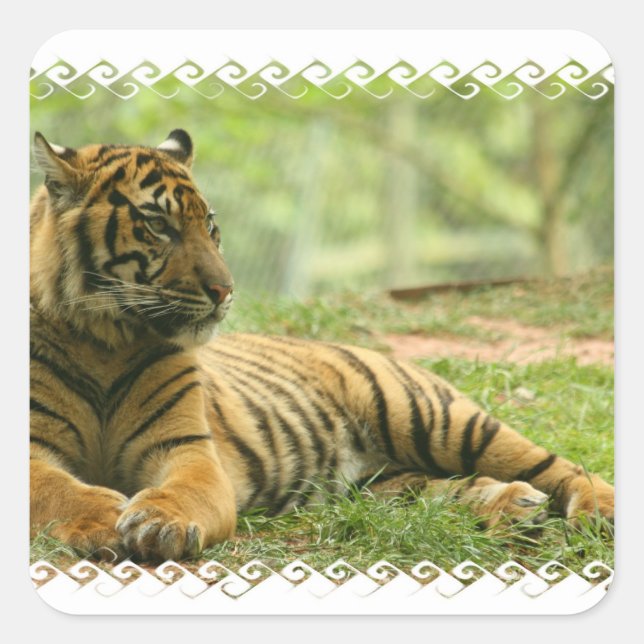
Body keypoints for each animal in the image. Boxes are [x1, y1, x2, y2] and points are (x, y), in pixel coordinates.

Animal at [30, 129, 614, 562]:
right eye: (157, 224)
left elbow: (184, 490)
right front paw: (107, 518)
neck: (105, 341)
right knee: (447, 491)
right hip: (387, 484)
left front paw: (156, 519)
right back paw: (516, 507)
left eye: (211, 227)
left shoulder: (187, 447)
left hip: (434, 417)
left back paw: (596, 511)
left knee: (560, 466)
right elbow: (54, 489)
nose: (225, 290)